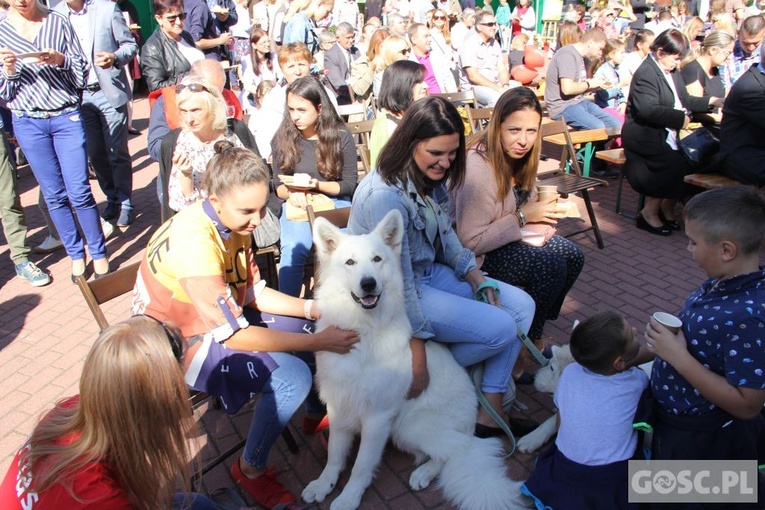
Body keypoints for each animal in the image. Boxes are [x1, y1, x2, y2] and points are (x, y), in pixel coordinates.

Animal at [304, 210, 524, 510]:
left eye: (377, 259)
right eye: (350, 262)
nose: (368, 284)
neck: (363, 332)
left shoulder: (377, 418)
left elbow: (361, 465)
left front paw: (349, 497)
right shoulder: (340, 406)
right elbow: (334, 456)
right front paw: (323, 484)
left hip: (407, 426)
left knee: (460, 449)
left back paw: (424, 473)